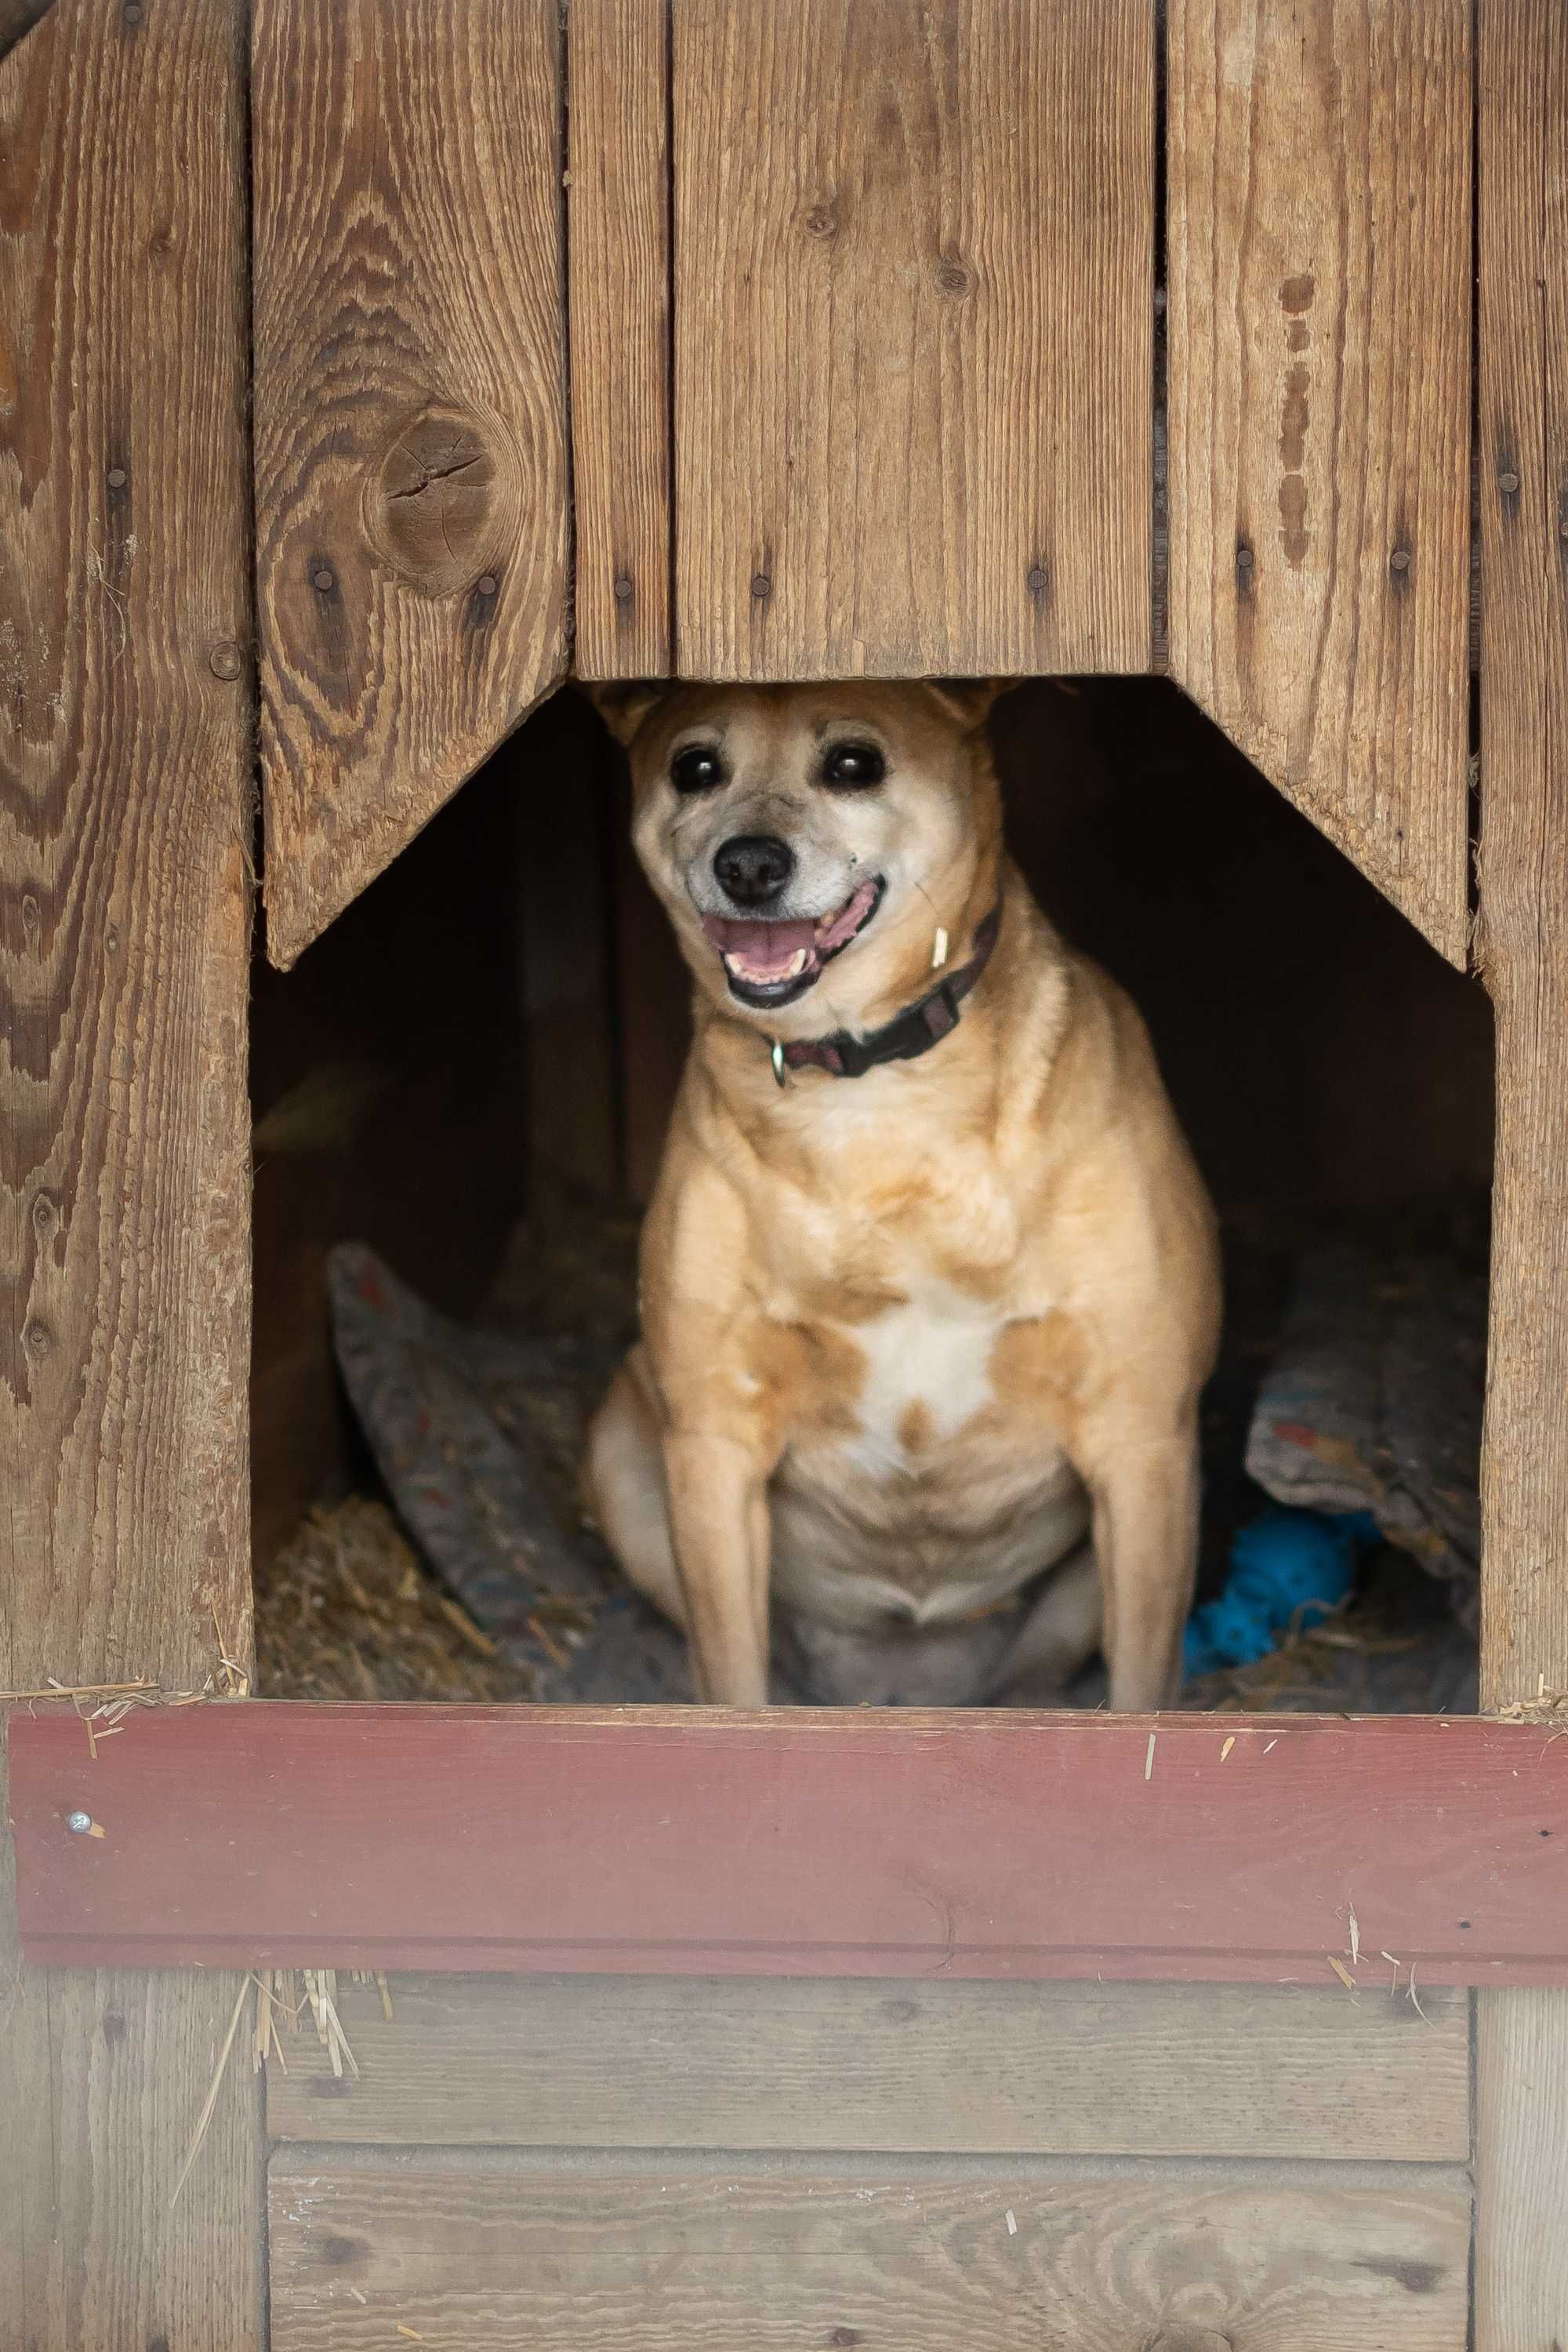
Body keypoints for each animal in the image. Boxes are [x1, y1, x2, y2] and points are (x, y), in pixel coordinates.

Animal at [583, 682, 1222, 1712]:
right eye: (694, 767)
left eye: (853, 764)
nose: (748, 864)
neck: (874, 1095)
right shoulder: (713, 1448)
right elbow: (731, 1688)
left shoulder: (1143, 1441)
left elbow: (1137, 1697)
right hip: (619, 1454)